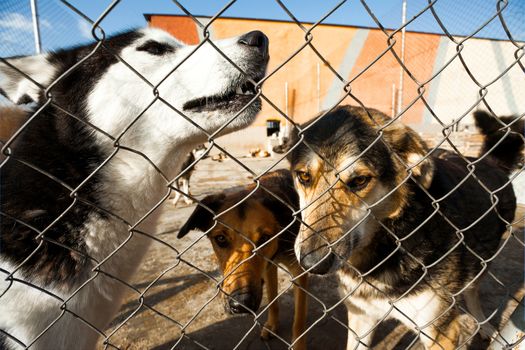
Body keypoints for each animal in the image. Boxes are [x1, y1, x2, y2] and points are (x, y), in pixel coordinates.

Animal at [178, 168, 308, 348]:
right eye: (220, 239)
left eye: (265, 238)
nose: (241, 304)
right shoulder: (269, 267)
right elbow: (272, 299)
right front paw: (272, 324)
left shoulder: (299, 271)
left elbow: (299, 320)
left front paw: (299, 344)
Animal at [288, 106, 520, 350]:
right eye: (304, 176)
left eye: (360, 180)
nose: (313, 264)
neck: (389, 245)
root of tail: (490, 163)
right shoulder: (361, 317)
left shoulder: (441, 331)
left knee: (473, 291)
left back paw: (485, 326)